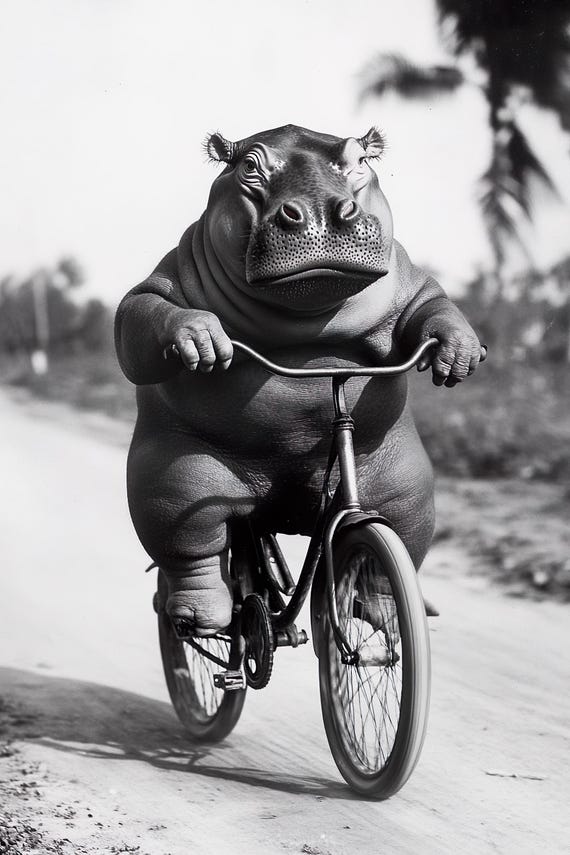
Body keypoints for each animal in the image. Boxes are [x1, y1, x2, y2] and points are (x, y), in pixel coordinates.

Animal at [115, 124, 483, 637]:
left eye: (359, 159)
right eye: (249, 165)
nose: (323, 211)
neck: (307, 318)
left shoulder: (410, 280)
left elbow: (434, 305)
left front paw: (459, 353)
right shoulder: (168, 273)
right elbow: (140, 314)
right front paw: (198, 338)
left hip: (403, 484)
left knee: (398, 545)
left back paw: (389, 613)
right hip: (176, 476)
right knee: (189, 546)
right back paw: (199, 616)